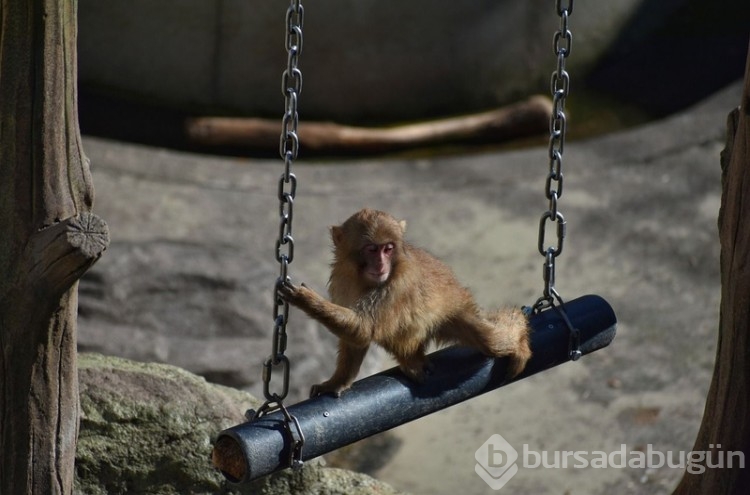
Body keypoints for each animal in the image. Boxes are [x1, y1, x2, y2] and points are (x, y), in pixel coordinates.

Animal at [280, 207, 532, 398]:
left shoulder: (398, 285)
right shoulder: (342, 280)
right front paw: (338, 382)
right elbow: (356, 340)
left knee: (493, 340)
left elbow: (363, 328)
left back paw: (519, 334)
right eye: (372, 249)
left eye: (388, 249)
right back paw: (411, 360)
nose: (381, 265)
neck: (363, 279)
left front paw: (304, 299)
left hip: (457, 312)